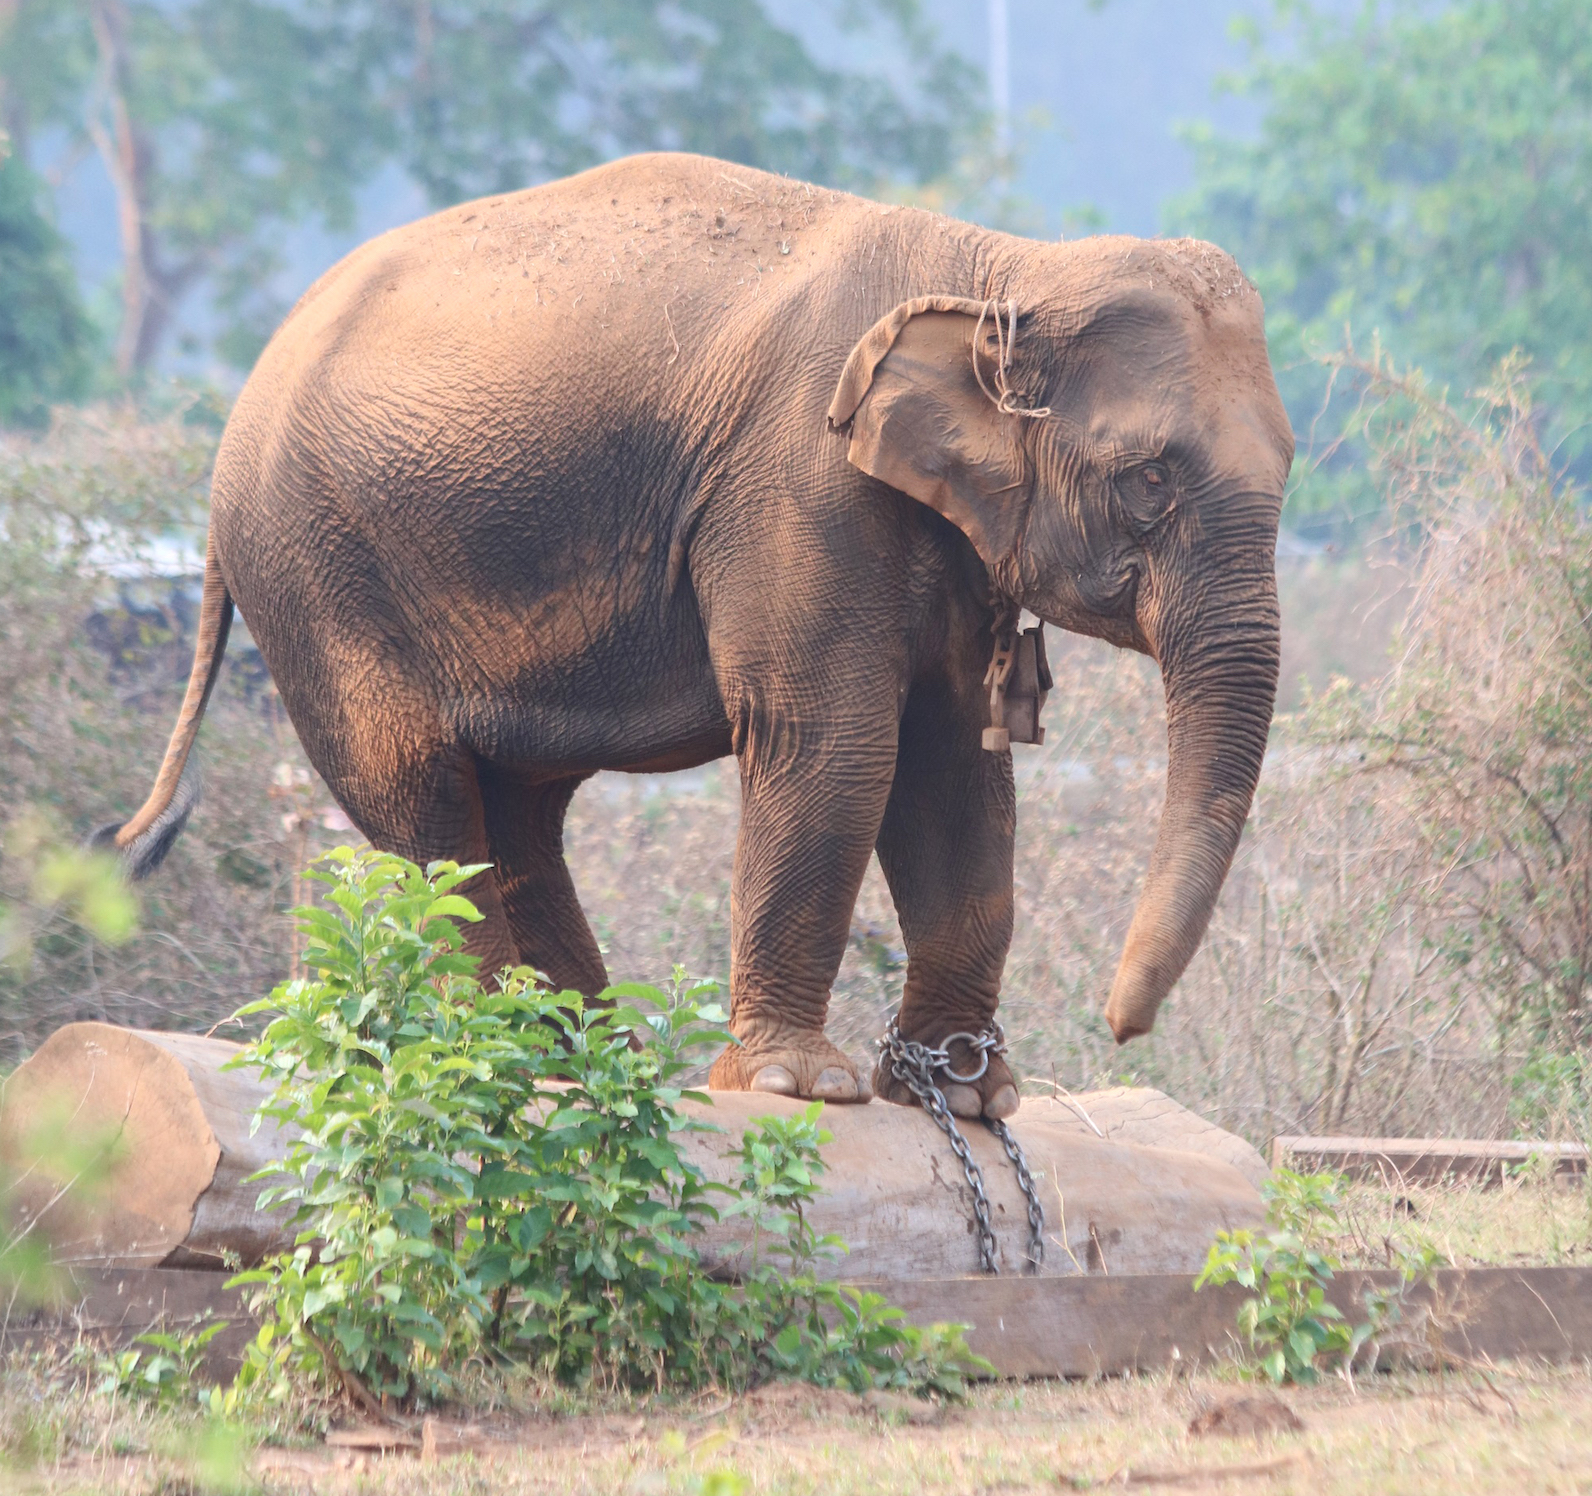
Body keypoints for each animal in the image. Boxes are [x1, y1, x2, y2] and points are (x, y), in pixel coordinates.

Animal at [100, 151, 1292, 1122]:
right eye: (1147, 480)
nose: (1119, 1027)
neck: (1000, 265)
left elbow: (954, 766)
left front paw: (967, 1094)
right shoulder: (798, 487)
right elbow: (837, 743)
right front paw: (798, 1084)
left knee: (513, 812)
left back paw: (587, 1062)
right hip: (315, 565)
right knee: (423, 791)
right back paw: (494, 1058)